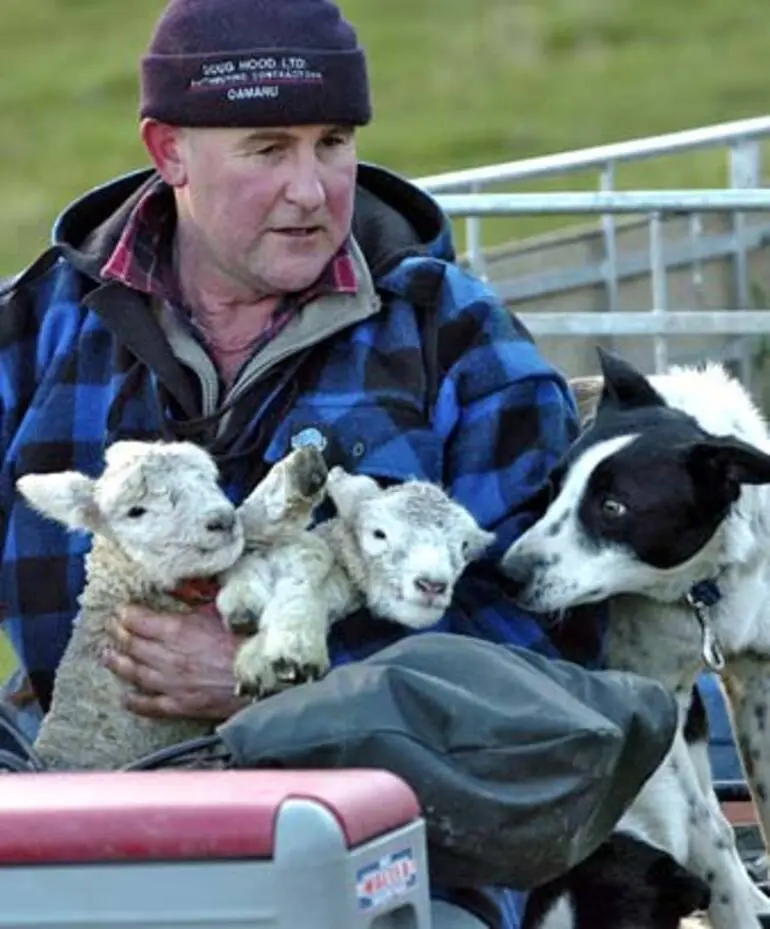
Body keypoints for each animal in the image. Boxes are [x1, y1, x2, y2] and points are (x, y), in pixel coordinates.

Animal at [500, 348, 770, 928]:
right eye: (552, 489)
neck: (703, 582)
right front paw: (730, 902)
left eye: (613, 507)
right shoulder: (653, 692)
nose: (507, 574)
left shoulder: (757, 678)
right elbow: (705, 829)